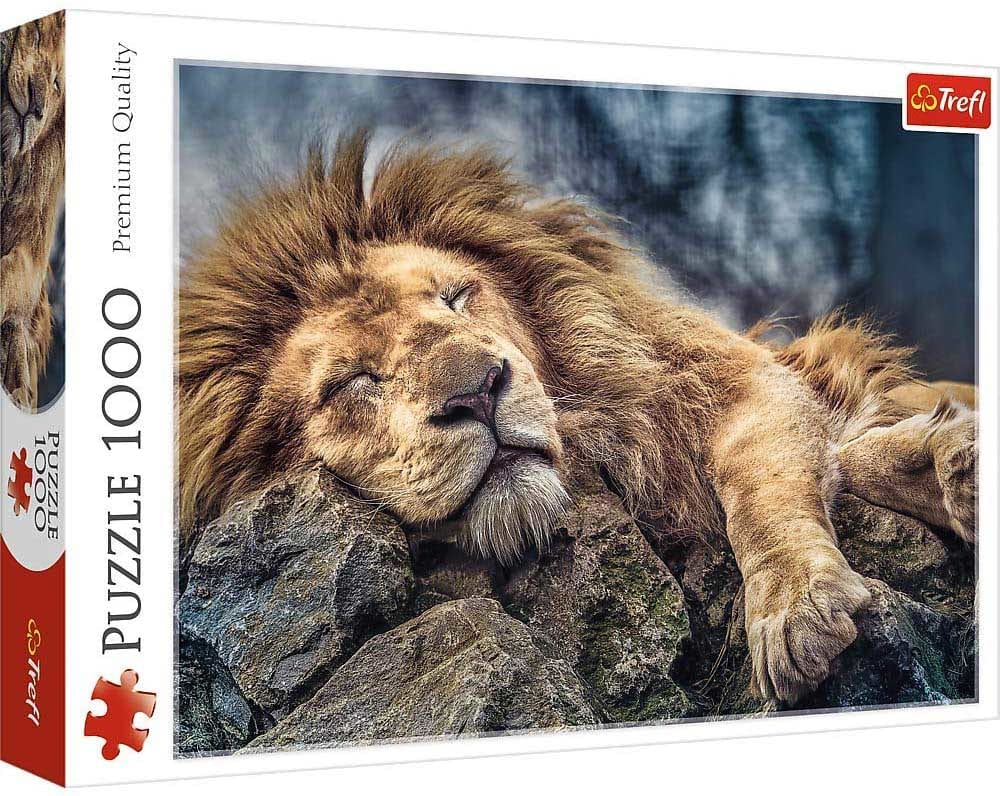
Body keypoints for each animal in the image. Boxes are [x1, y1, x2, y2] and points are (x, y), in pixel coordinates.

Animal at [179, 131, 977, 707]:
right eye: (354, 381)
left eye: (457, 297)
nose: (478, 392)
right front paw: (944, 465)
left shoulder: (731, 381)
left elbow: (764, 489)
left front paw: (798, 605)